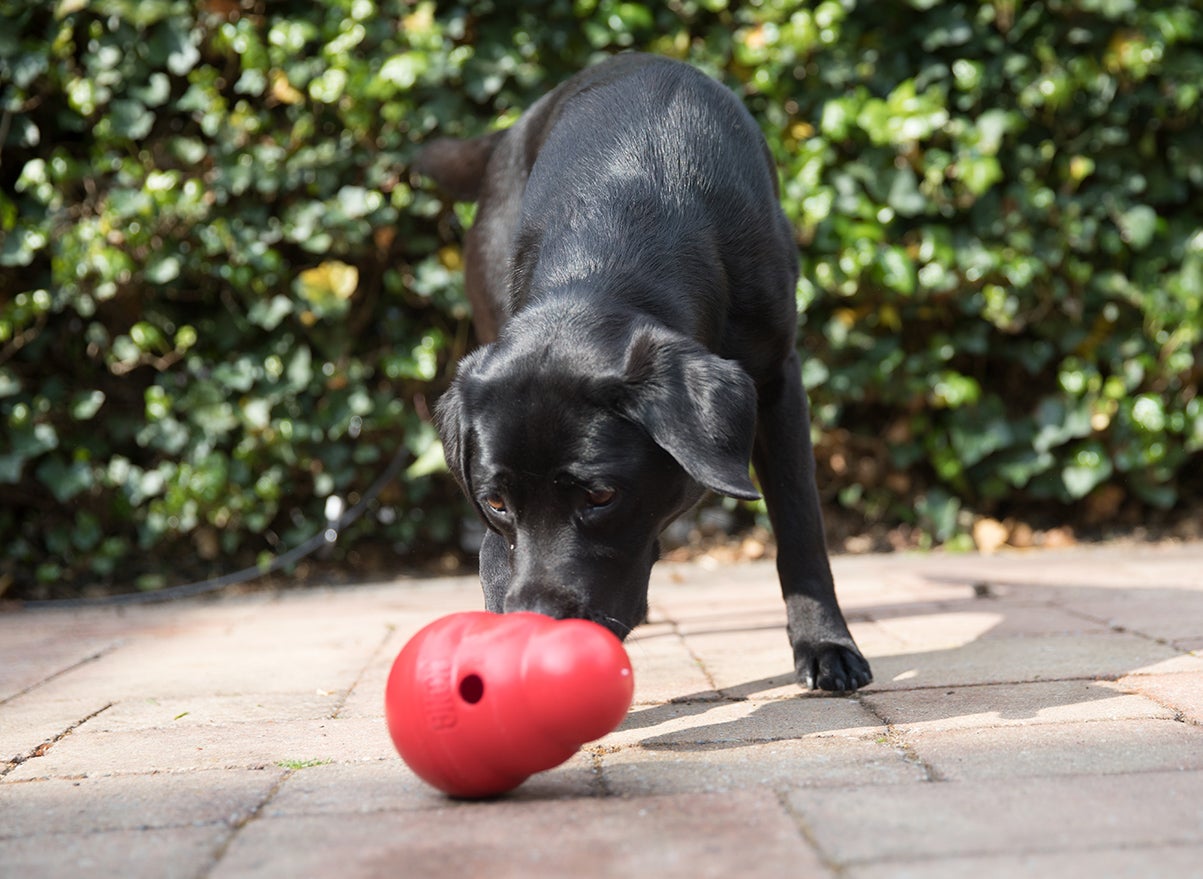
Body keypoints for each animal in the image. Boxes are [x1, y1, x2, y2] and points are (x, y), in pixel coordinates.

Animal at [418, 53, 870, 692]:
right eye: (497, 503)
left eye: (601, 495)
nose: (539, 621)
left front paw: (826, 645)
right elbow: (494, 562)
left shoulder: (779, 379)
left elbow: (800, 523)